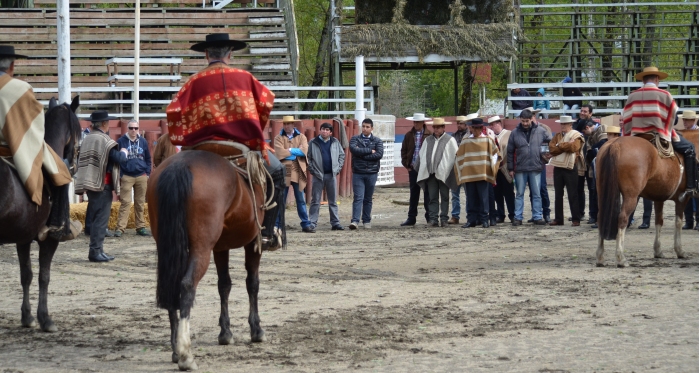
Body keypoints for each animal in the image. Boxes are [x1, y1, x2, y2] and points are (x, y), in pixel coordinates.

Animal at [1, 95, 82, 328]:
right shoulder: (50, 239)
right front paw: (45, 317)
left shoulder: (23, 237)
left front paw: (27, 316)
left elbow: (26, 274)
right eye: (81, 131)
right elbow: (44, 276)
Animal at [146, 147, 284, 370]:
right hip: (202, 247)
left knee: (172, 286)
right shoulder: (253, 244)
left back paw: (175, 350)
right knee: (187, 285)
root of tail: (180, 166)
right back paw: (185, 354)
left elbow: (224, 285)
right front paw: (256, 330)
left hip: (168, 245)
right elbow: (252, 283)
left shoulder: (221, 247)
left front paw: (225, 333)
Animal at [596, 131, 700, 268]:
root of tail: (615, 144)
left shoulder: (659, 198)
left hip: (603, 193)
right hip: (631, 196)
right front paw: (680, 250)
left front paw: (658, 251)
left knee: (601, 217)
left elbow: (659, 221)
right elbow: (678, 223)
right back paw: (621, 258)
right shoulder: (682, 199)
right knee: (622, 218)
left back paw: (600, 257)